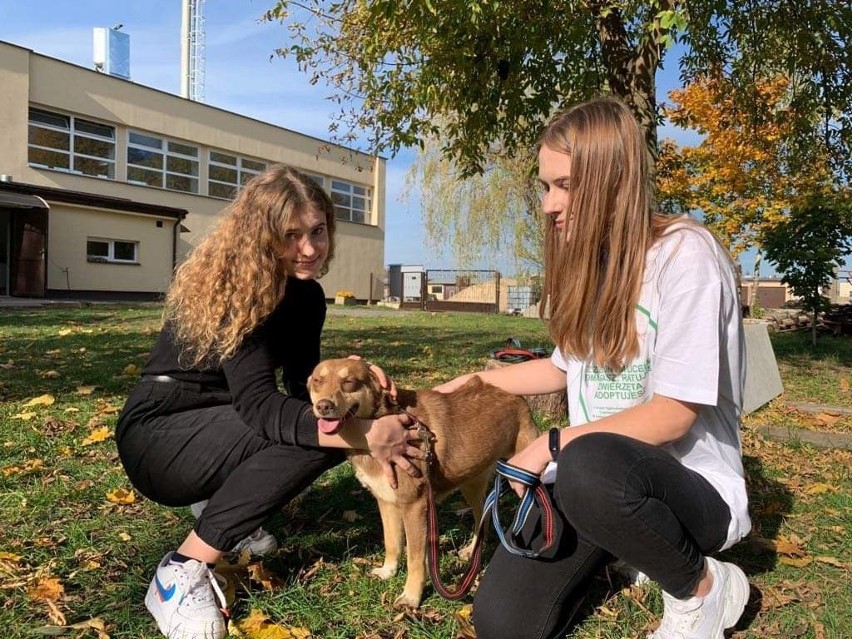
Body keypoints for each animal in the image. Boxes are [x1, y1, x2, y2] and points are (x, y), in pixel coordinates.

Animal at [306, 358, 536, 608]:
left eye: (349, 382)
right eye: (317, 381)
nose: (324, 406)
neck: (382, 420)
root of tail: (515, 396)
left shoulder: (414, 506)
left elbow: (415, 558)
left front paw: (411, 597)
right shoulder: (386, 502)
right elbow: (392, 542)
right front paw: (388, 571)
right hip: (471, 485)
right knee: (481, 516)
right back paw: (471, 551)